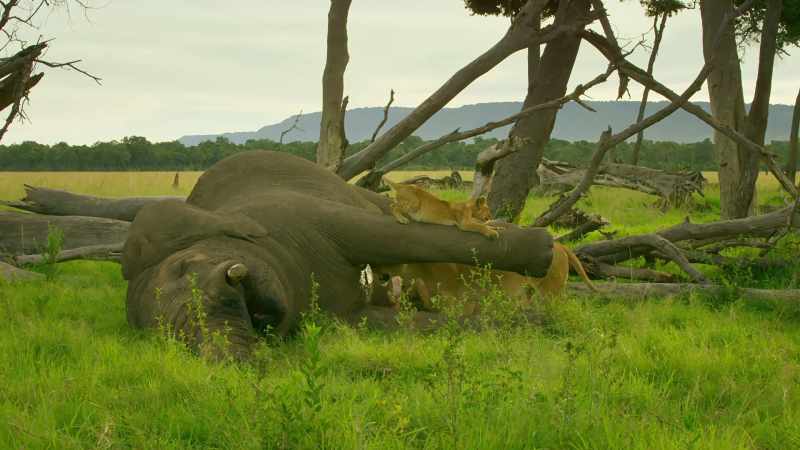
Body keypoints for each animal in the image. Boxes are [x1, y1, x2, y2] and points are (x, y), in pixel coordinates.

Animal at [121, 150, 553, 360]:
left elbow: (393, 235)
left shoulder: (297, 213)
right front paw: (537, 323)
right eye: (169, 336)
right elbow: (396, 323)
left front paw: (544, 251)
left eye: (184, 267)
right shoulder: (337, 315)